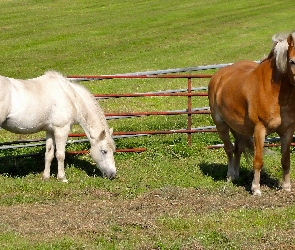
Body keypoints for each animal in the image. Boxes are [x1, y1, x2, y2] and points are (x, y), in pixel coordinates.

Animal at [209, 32, 295, 195]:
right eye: (292, 61)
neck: (275, 92)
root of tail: (218, 77)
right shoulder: (259, 130)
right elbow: (258, 160)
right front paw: (256, 189)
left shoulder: (287, 131)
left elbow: (286, 160)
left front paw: (286, 186)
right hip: (221, 125)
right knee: (229, 149)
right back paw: (230, 176)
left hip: (241, 129)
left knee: (238, 149)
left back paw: (236, 175)